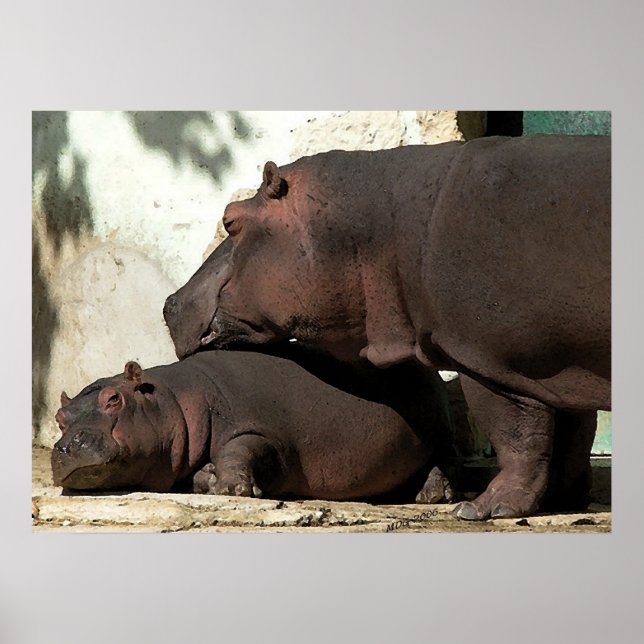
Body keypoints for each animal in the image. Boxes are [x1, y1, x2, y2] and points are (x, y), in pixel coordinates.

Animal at [51, 346, 456, 502]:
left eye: (113, 399)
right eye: (60, 418)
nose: (67, 445)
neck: (175, 400)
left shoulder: (262, 431)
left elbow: (241, 448)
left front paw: (232, 489)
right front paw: (208, 479)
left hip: (442, 435)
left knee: (444, 463)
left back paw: (434, 495)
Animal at [163, 135, 611, 520]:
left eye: (230, 220)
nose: (170, 302)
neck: (382, 227)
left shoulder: (488, 360)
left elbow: (517, 435)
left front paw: (485, 509)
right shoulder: (558, 369)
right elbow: (573, 436)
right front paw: (562, 502)